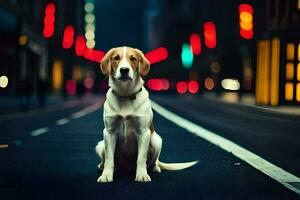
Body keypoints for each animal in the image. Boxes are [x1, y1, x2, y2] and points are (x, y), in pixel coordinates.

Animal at [95, 47, 197, 183]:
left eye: (133, 58)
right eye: (116, 58)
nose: (124, 70)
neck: (125, 95)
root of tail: (127, 168)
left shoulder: (144, 132)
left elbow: (141, 158)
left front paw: (142, 175)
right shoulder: (109, 132)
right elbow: (109, 159)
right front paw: (106, 175)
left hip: (156, 140)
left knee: (153, 162)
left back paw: (155, 168)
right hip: (101, 145)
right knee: (106, 160)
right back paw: (103, 167)